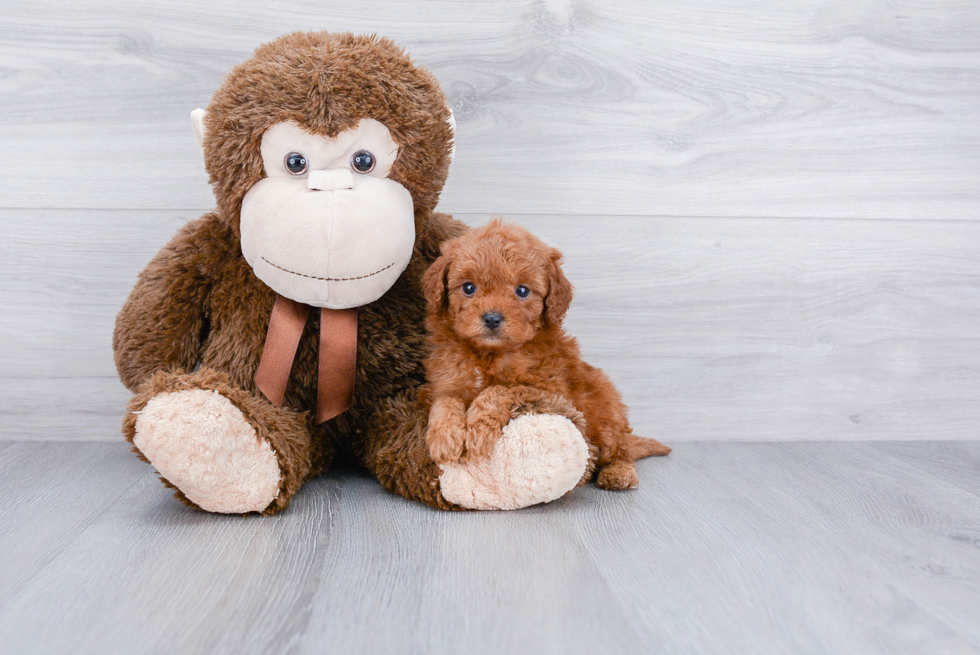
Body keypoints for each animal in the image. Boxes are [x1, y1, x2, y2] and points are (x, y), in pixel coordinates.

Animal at [418, 220, 668, 492]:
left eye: (522, 291)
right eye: (468, 287)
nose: (492, 318)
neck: (489, 354)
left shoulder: (548, 391)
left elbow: (500, 390)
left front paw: (477, 431)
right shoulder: (446, 382)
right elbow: (445, 402)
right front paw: (444, 437)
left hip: (605, 414)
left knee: (620, 449)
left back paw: (619, 472)